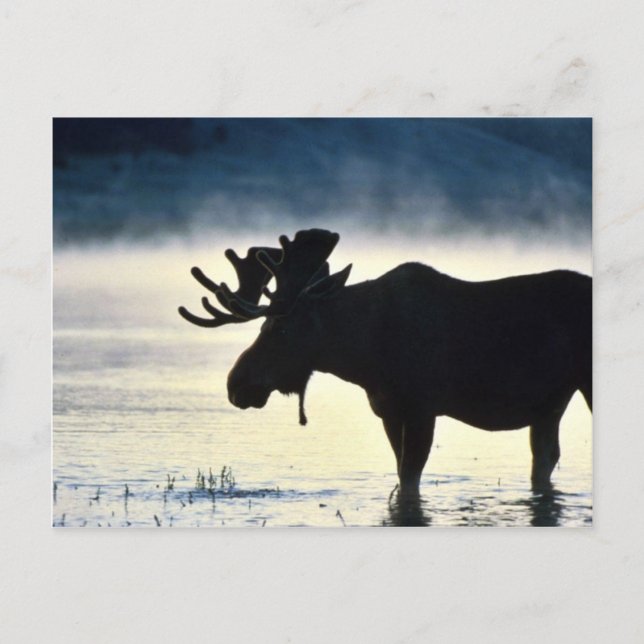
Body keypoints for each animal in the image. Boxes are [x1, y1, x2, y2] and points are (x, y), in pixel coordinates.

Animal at [179, 229, 592, 496]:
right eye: (263, 325)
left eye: (280, 329)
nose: (236, 384)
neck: (364, 355)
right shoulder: (388, 411)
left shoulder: (423, 407)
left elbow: (410, 479)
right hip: (550, 404)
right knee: (545, 458)